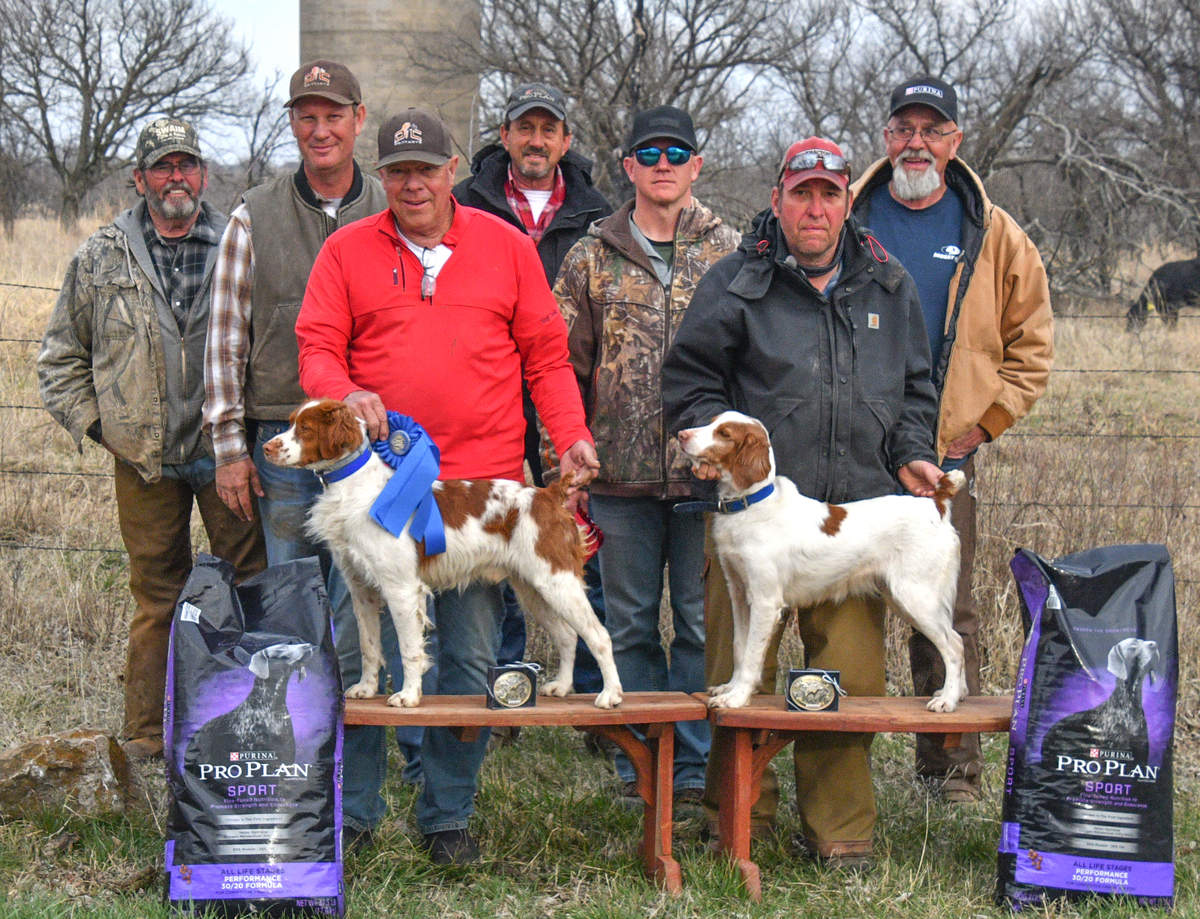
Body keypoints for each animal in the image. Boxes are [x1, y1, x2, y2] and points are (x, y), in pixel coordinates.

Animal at [266, 398, 624, 710]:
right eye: (291, 422)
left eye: (306, 429)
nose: (268, 448)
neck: (356, 488)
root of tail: (549, 495)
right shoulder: (361, 588)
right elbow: (369, 645)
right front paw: (366, 689)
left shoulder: (401, 588)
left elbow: (409, 649)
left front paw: (408, 696)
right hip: (533, 588)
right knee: (567, 635)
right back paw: (562, 686)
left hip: (556, 581)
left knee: (599, 636)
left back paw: (611, 695)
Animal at [676, 412, 964, 715]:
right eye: (711, 421)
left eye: (724, 433)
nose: (681, 434)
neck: (750, 505)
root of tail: (936, 504)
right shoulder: (740, 594)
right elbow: (739, 648)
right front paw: (730, 688)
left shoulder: (766, 601)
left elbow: (752, 654)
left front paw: (737, 697)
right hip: (902, 597)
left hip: (916, 596)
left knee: (955, 645)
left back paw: (947, 699)